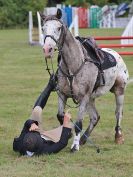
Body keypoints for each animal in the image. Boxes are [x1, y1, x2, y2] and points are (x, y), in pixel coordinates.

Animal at [40, 8, 129, 152]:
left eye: (58, 28)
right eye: (43, 28)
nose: (47, 49)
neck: (74, 64)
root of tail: (116, 54)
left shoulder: (83, 98)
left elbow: (78, 123)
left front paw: (74, 146)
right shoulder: (62, 95)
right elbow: (60, 116)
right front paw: (68, 135)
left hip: (118, 90)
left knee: (118, 113)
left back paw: (118, 136)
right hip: (91, 98)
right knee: (95, 117)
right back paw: (83, 139)